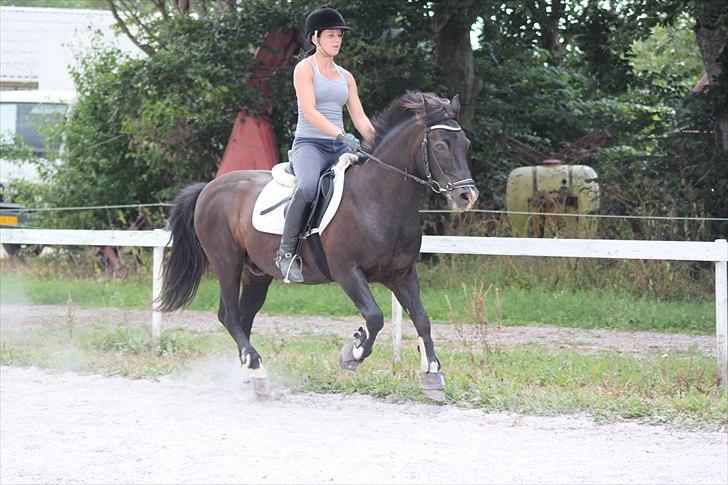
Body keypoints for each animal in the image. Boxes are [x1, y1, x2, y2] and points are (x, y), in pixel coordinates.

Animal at [156, 90, 480, 398]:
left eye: (465, 143)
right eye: (440, 146)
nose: (467, 196)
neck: (377, 200)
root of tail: (208, 188)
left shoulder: (401, 274)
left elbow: (422, 319)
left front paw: (432, 374)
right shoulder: (347, 272)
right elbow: (374, 317)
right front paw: (352, 352)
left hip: (256, 274)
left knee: (244, 318)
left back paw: (250, 374)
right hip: (226, 263)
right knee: (230, 316)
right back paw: (258, 372)